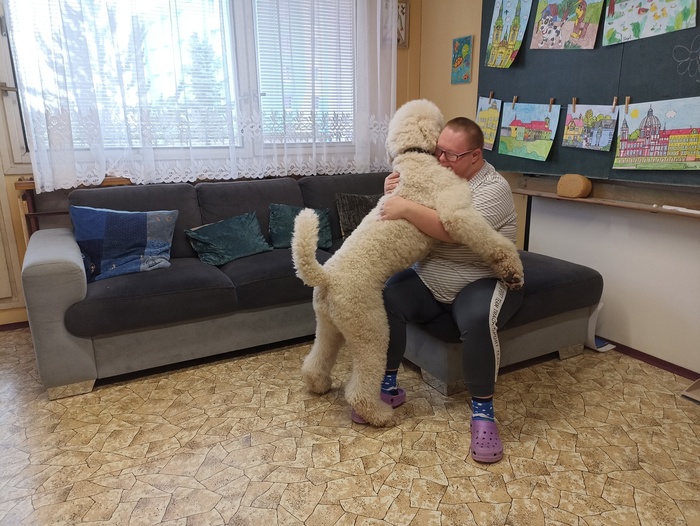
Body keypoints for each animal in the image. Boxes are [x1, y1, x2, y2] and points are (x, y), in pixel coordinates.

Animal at [292, 99, 524, 426]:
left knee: (317, 358)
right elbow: (488, 238)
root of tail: (326, 278)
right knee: (361, 386)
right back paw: (378, 413)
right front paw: (512, 268)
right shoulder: (456, 212)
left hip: (329, 326)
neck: (413, 156)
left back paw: (319, 384)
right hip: (372, 329)